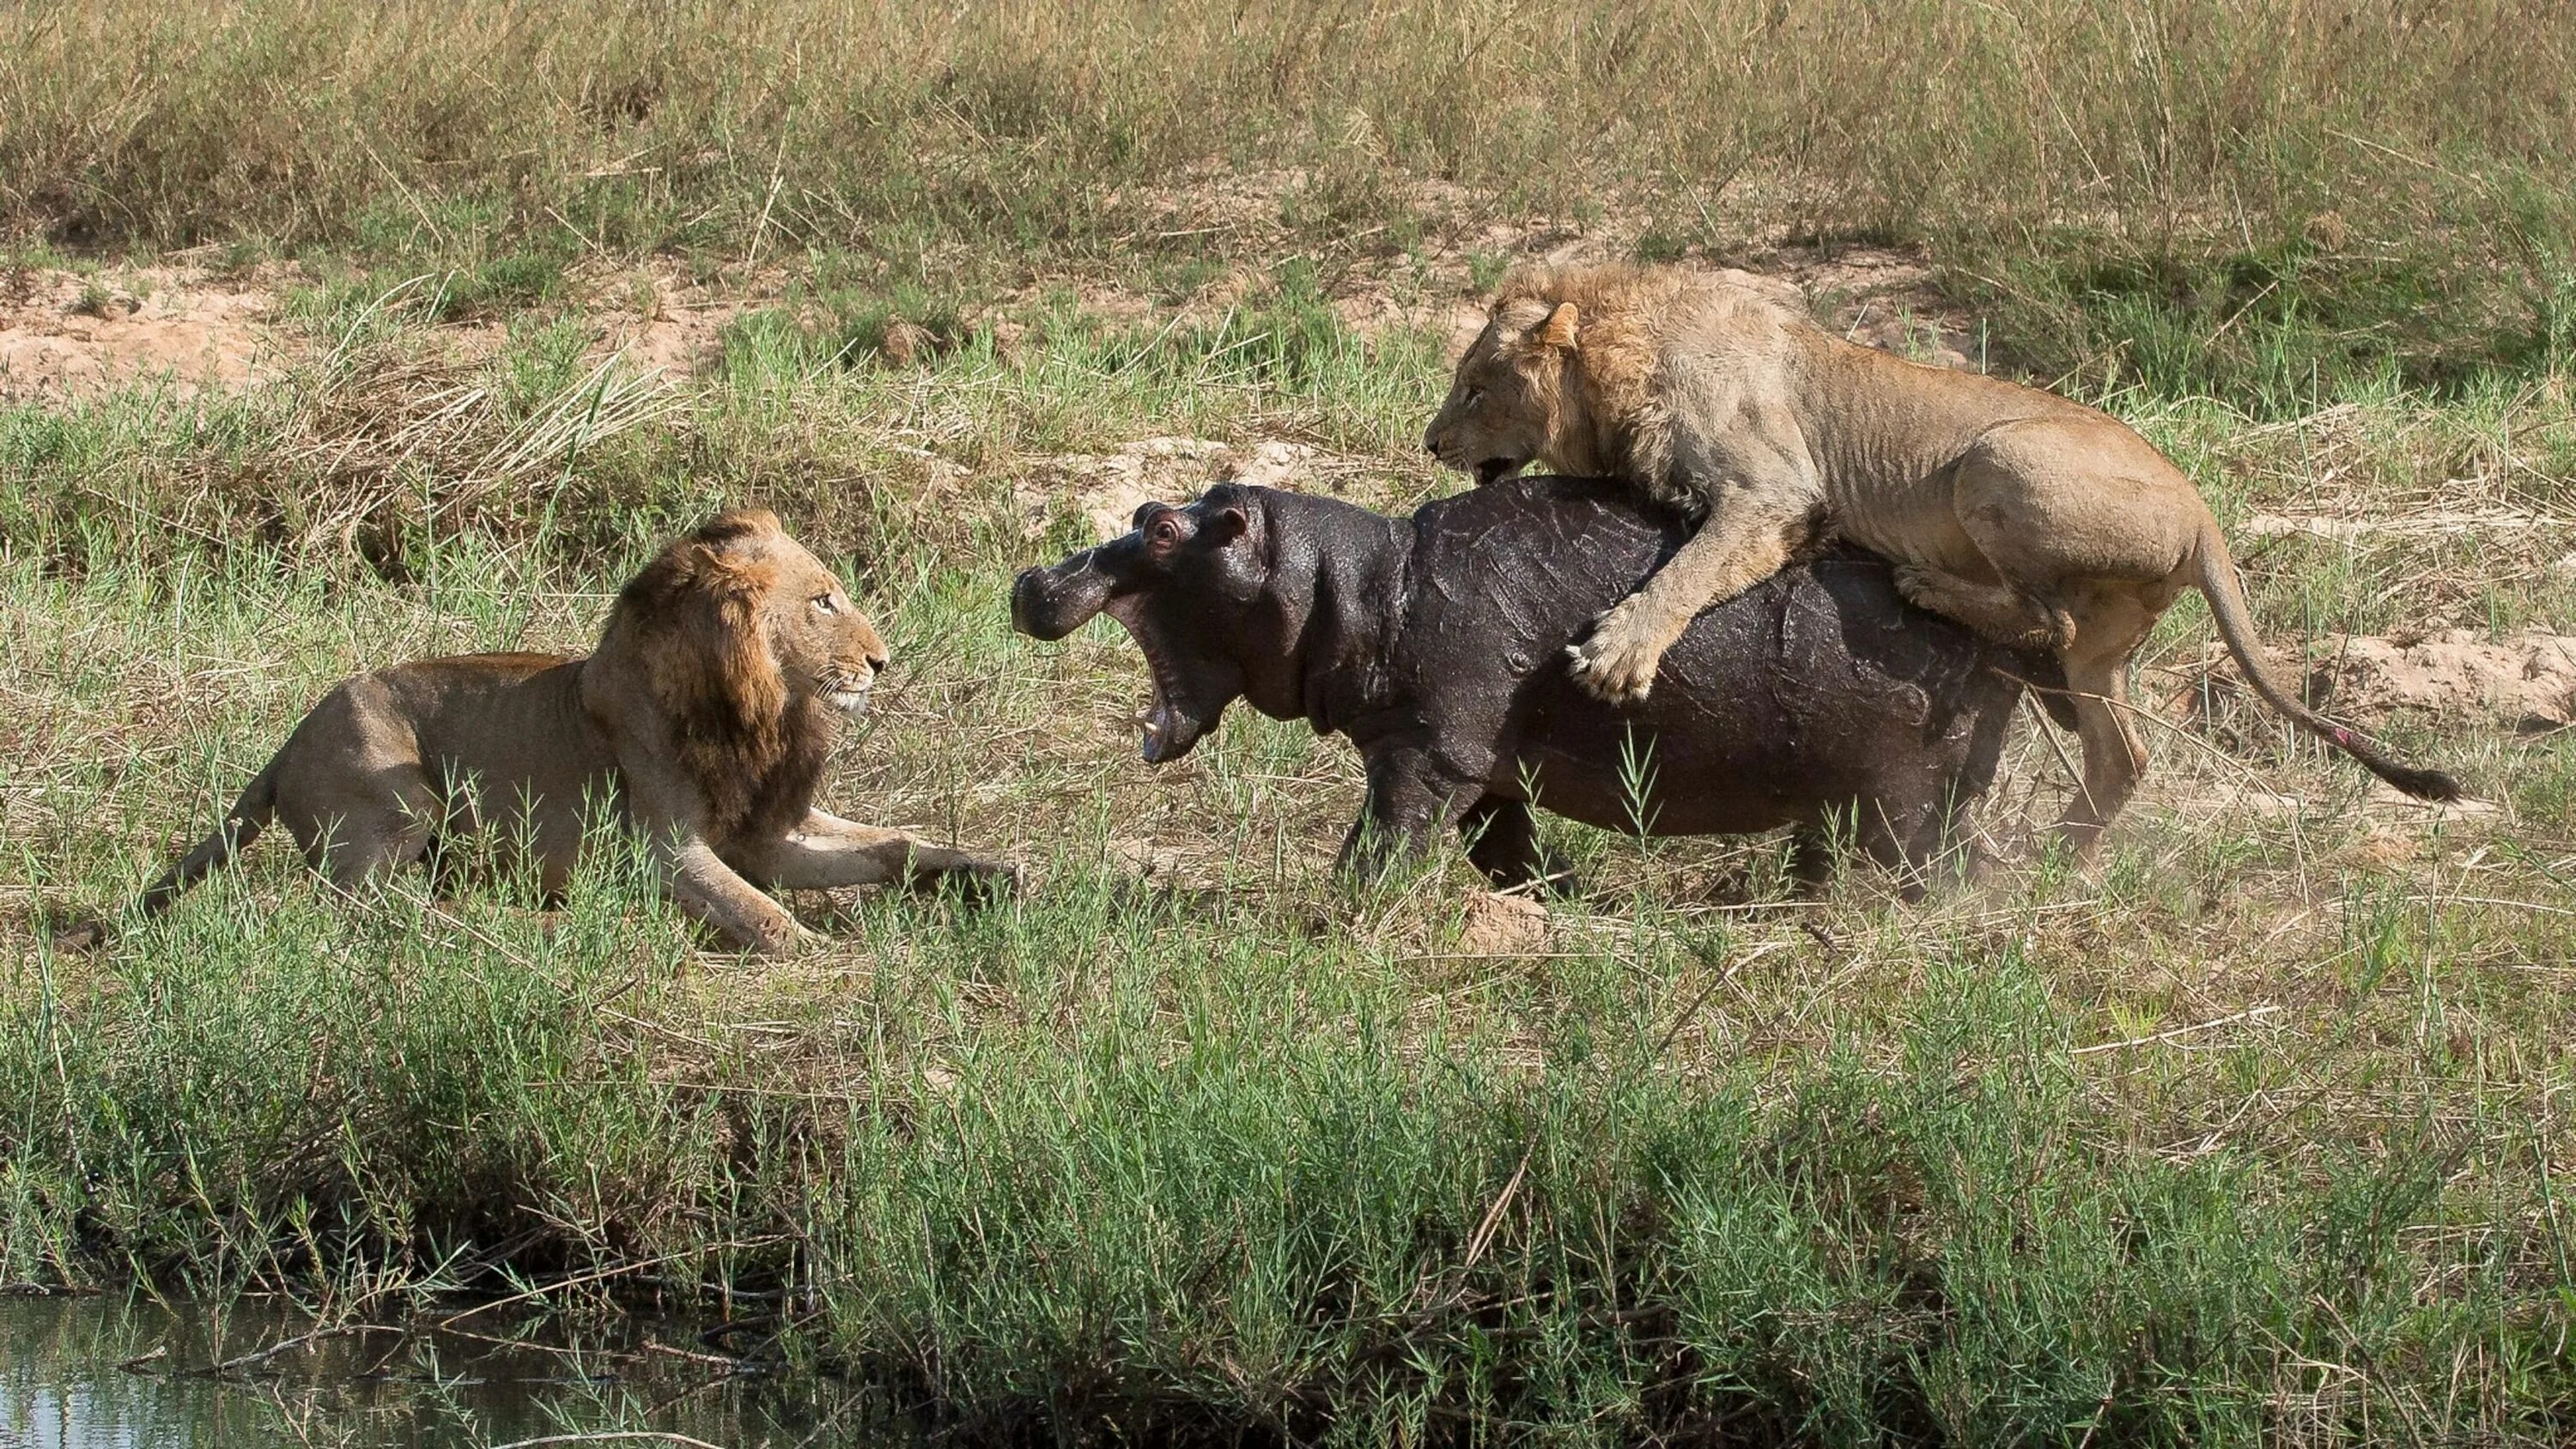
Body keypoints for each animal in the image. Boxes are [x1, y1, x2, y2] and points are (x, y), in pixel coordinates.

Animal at [60, 504, 1005, 957]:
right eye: (823, 601)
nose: (883, 660)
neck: (761, 709)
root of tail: (286, 744)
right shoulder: (664, 849)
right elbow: (763, 914)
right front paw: (836, 956)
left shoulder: (765, 830)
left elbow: (888, 843)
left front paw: (981, 869)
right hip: (398, 786)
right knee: (360, 904)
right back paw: (503, 929)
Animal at [1005, 476, 2050, 890]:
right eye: (1150, 505)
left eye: (1165, 531)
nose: (1034, 579)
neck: (1363, 583)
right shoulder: (1480, 767)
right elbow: (1506, 851)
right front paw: (1565, 899)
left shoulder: (1425, 755)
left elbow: (1380, 845)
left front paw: (1332, 915)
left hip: (1902, 794)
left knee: (1928, 866)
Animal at [1432, 262, 2452, 854]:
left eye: (1476, 385)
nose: (1432, 443)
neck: (1624, 348)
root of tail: (2204, 514)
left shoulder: (1776, 493)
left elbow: (1688, 570)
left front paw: (1618, 655)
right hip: (2102, 649)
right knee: (2119, 752)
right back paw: (2057, 860)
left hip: (1996, 459)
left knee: (2046, 614)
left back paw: (1926, 585)